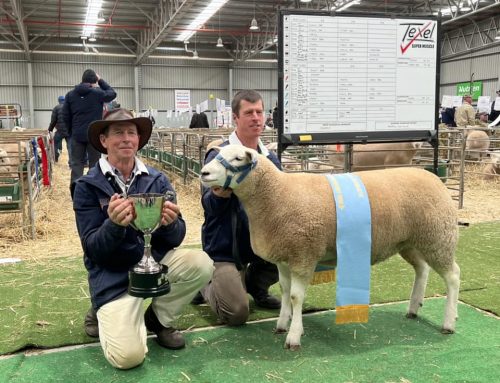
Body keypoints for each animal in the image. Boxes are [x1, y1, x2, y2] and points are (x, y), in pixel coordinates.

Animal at [199, 144, 460, 352]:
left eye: (237, 158)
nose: (204, 172)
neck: (276, 195)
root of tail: (434, 177)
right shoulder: (284, 258)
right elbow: (284, 290)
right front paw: (283, 324)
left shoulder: (304, 254)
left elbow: (295, 296)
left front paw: (294, 336)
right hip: (411, 241)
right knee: (422, 269)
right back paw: (414, 308)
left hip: (439, 237)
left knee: (453, 276)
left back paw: (449, 321)